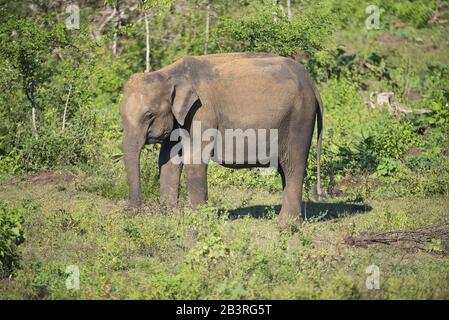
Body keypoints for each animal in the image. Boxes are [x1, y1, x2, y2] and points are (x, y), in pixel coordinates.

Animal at [119, 52, 322, 226]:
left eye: (148, 115)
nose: (131, 212)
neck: (170, 73)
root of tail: (311, 82)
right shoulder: (180, 119)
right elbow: (168, 159)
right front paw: (169, 216)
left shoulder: (202, 111)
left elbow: (194, 159)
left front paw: (199, 220)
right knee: (285, 170)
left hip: (299, 119)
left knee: (293, 166)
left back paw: (287, 226)